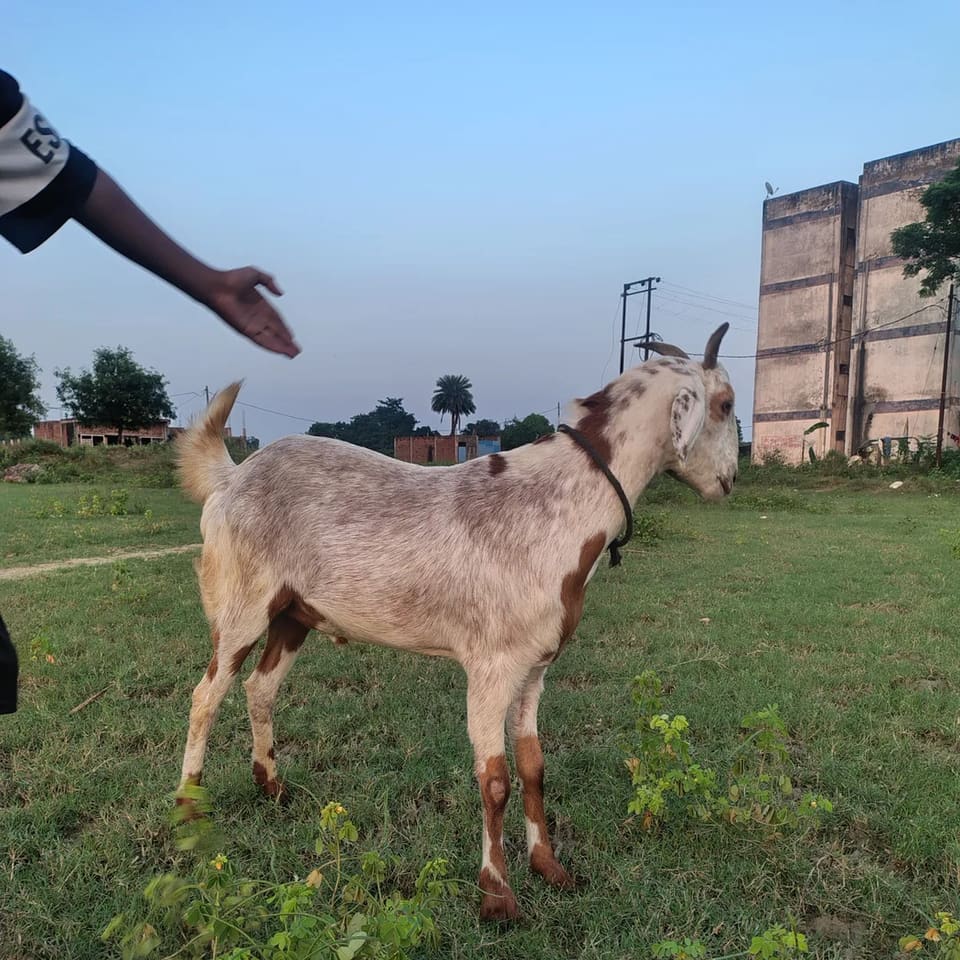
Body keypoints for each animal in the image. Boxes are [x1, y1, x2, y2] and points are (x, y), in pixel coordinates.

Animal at [175, 323, 738, 920]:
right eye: (725, 404)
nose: (729, 480)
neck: (557, 505)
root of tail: (231, 477)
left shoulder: (535, 667)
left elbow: (533, 766)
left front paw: (550, 867)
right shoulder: (491, 666)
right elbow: (495, 780)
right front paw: (497, 895)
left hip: (293, 613)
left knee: (260, 688)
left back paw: (271, 786)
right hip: (243, 602)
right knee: (207, 694)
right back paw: (189, 807)